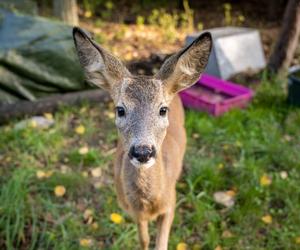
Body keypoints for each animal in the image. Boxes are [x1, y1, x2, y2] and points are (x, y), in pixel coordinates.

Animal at [73, 26, 212, 249]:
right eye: (120, 110)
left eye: (163, 110)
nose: (143, 151)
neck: (148, 203)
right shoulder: (133, 211)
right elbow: (144, 239)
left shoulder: (171, 203)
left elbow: (161, 243)